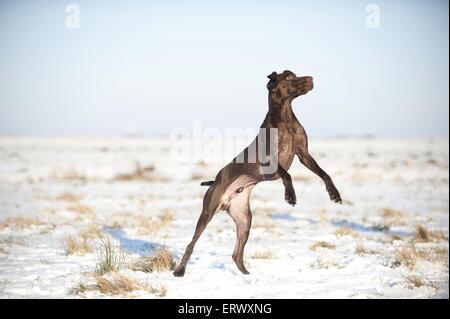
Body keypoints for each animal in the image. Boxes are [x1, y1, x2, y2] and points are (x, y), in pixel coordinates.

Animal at [172, 70, 342, 278]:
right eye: (288, 77)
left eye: (294, 74)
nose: (311, 78)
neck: (285, 116)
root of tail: (216, 183)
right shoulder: (269, 160)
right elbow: (287, 175)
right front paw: (290, 195)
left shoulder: (304, 155)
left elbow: (325, 174)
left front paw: (334, 194)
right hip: (207, 212)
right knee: (191, 244)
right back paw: (180, 271)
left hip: (244, 220)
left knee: (236, 254)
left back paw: (247, 275)